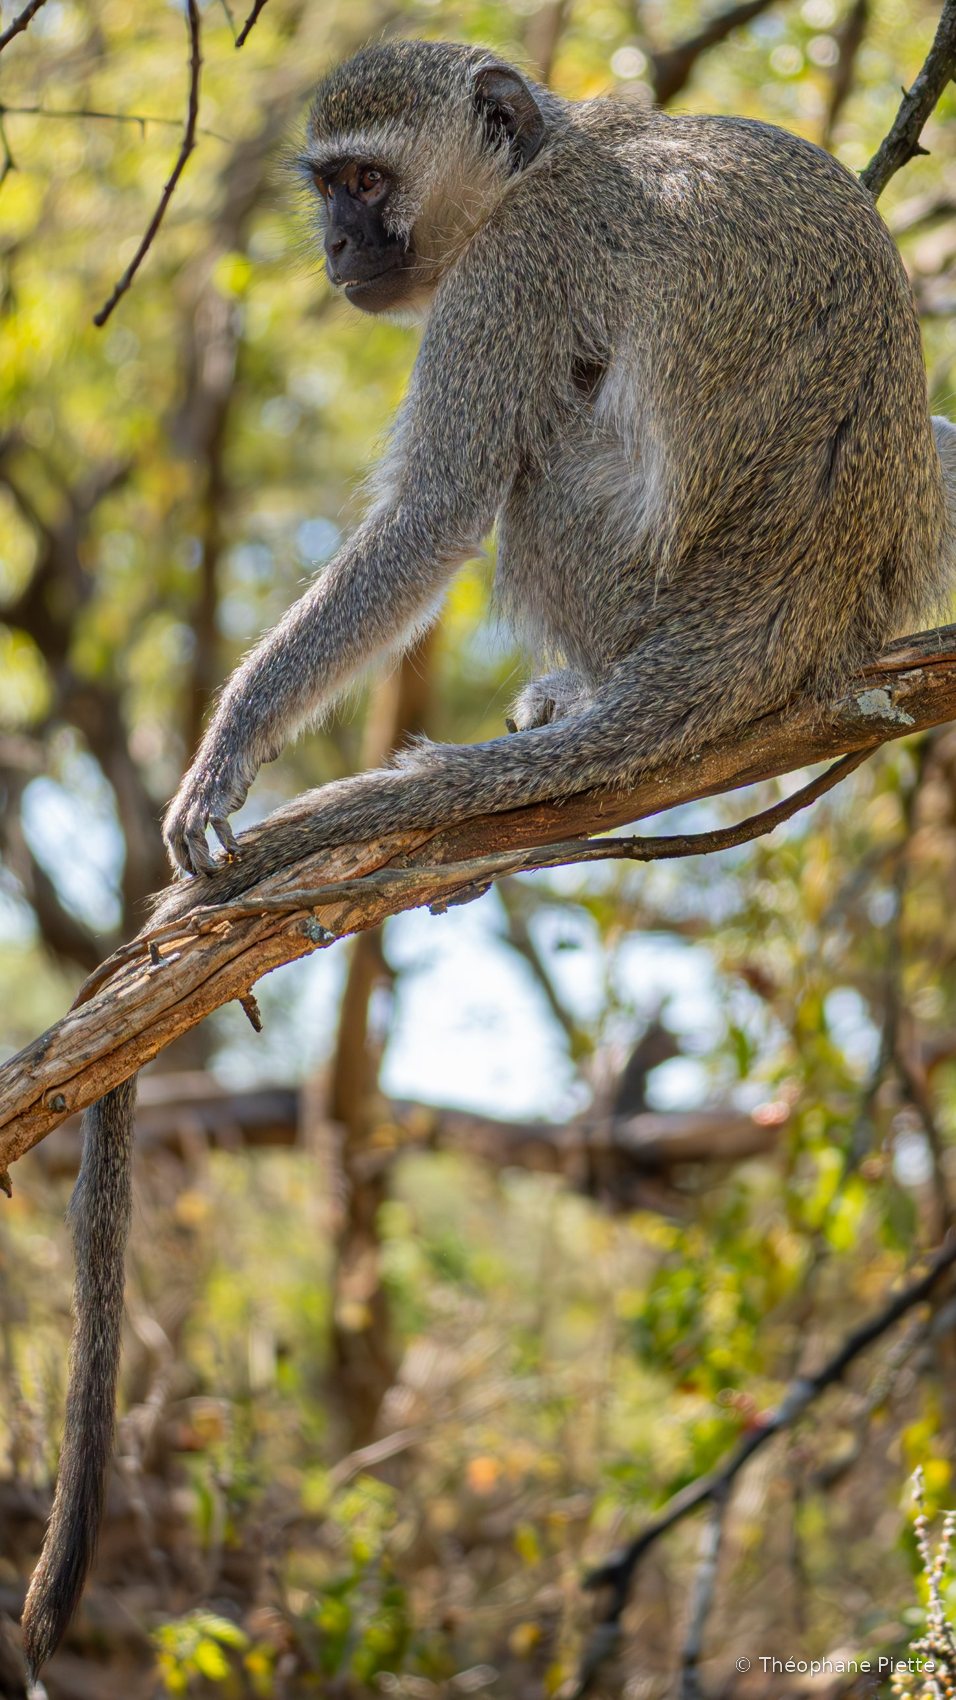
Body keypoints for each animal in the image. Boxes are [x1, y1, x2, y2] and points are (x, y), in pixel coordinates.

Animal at [22, 36, 956, 1679]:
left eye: (362, 182)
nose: (333, 250)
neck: (558, 156)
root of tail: (784, 619)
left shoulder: (511, 279)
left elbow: (441, 509)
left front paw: (230, 743)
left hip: (615, 562)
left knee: (526, 473)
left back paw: (575, 699)